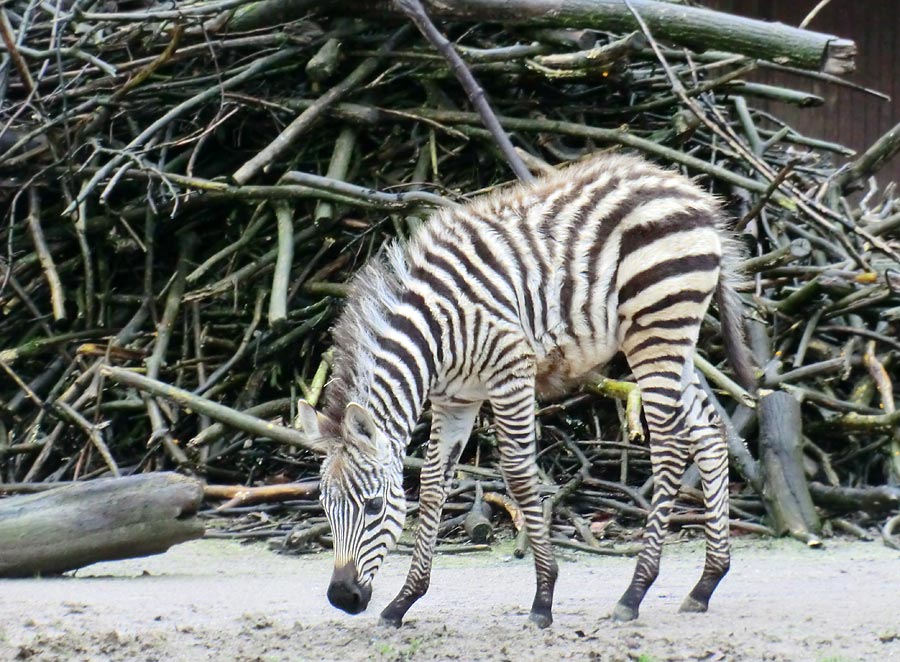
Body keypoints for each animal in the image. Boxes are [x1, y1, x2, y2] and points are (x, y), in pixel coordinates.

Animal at [296, 153, 752, 632]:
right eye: (325, 508)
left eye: (373, 507)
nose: (343, 598)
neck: (435, 335)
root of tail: (689, 190)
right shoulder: (455, 401)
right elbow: (434, 484)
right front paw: (403, 601)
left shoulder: (511, 370)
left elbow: (516, 473)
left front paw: (544, 598)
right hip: (675, 337)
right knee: (709, 431)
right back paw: (706, 582)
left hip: (656, 327)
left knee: (669, 442)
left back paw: (634, 592)